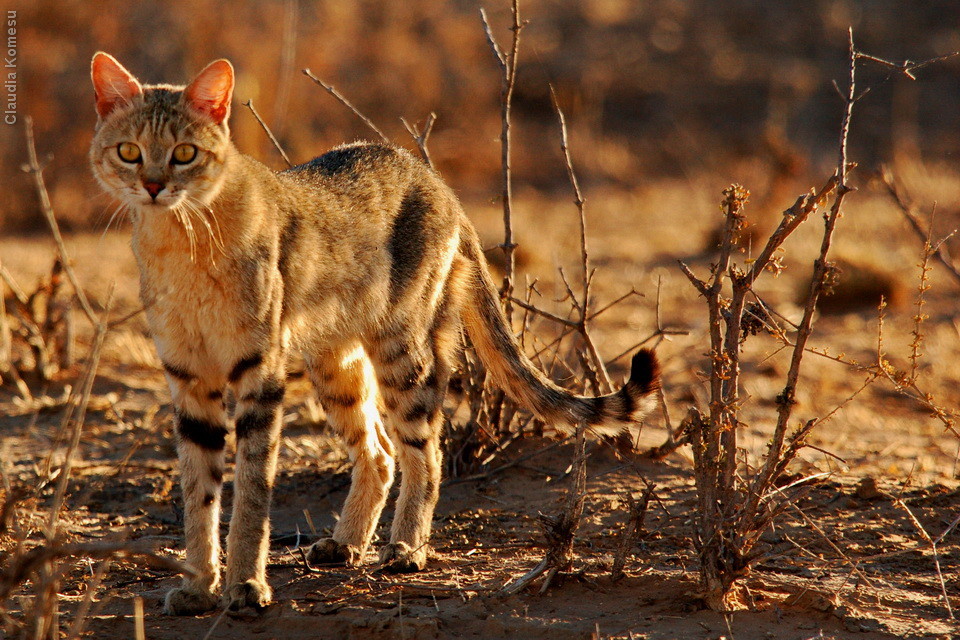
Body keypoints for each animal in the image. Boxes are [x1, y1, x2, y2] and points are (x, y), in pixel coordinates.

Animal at [90, 53, 660, 616]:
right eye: (129, 152)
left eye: (185, 153)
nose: (154, 186)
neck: (183, 239)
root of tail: (434, 178)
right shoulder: (188, 378)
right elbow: (199, 493)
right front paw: (200, 587)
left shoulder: (259, 372)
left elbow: (252, 489)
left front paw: (247, 586)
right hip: (335, 365)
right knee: (380, 452)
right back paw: (347, 542)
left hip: (402, 351)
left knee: (425, 452)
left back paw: (407, 547)